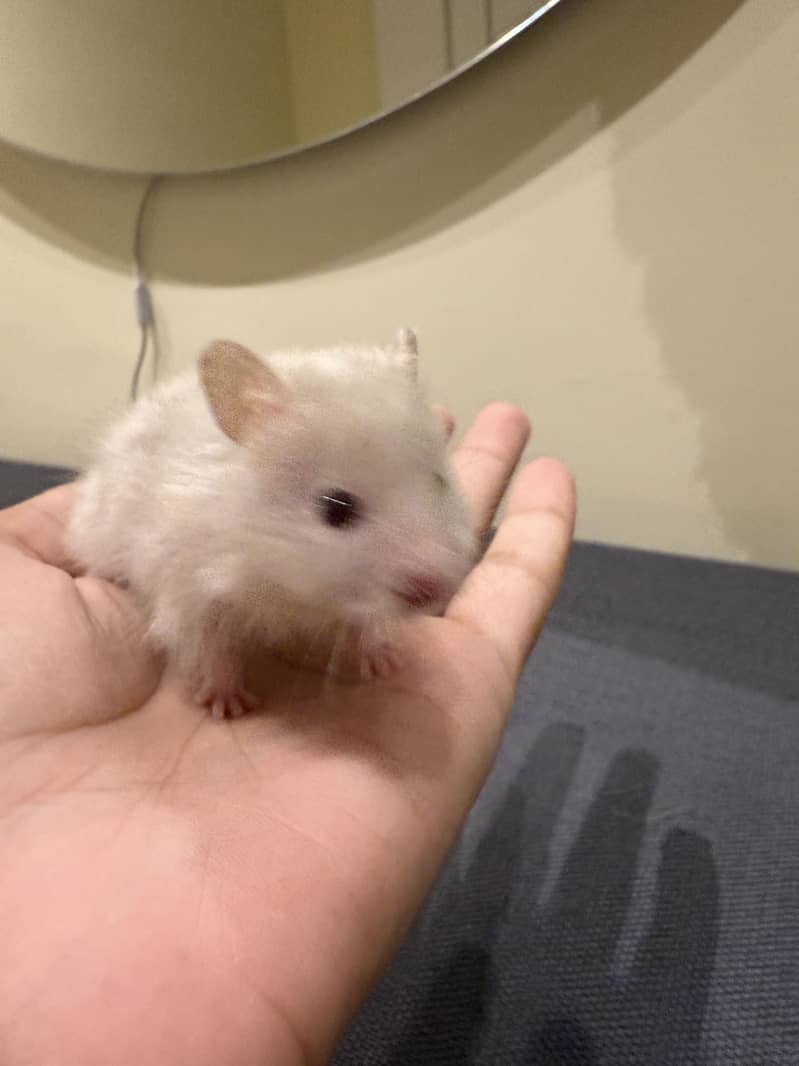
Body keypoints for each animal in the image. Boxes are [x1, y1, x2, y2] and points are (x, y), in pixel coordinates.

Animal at [65, 330, 476, 718]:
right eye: (336, 507)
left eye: (440, 482)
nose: (436, 589)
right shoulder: (190, 594)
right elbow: (211, 652)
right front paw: (229, 706)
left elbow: (368, 624)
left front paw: (387, 662)